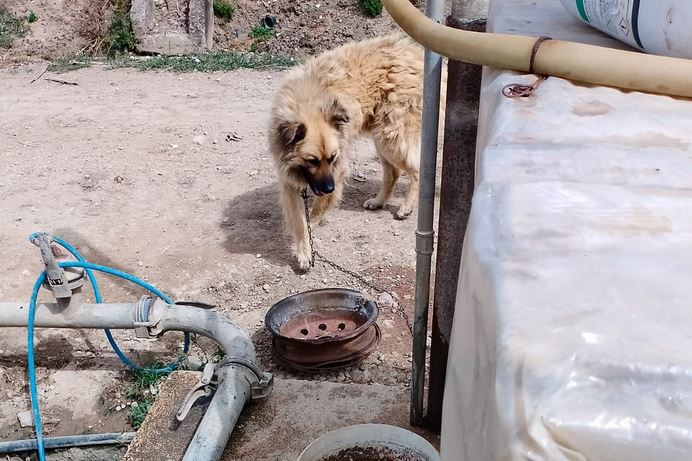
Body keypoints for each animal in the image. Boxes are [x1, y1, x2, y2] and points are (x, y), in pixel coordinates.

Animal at [268, 34, 424, 270]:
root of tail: (414, 52)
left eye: (331, 158)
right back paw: (378, 201)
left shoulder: (337, 169)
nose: (329, 187)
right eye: (311, 160)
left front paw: (312, 226)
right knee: (393, 172)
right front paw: (304, 250)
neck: (308, 102)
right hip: (381, 137)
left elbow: (316, 210)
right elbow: (299, 221)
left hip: (390, 136)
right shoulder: (289, 181)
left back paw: (406, 207)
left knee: (415, 170)